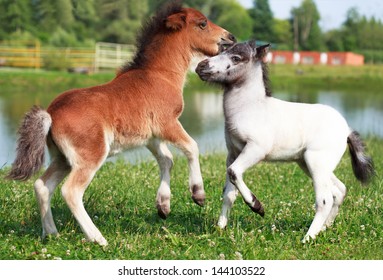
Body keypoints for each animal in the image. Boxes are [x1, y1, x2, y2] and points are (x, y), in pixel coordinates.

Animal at [7, 1, 237, 245]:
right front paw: (198, 194)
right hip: (91, 155)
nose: (230, 37)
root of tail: (50, 113)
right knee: (71, 191)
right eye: (202, 23)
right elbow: (192, 147)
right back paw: (98, 238)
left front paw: (163, 206)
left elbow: (167, 160)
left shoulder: (151, 136)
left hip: (63, 158)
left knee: (42, 186)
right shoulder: (167, 123)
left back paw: (51, 234)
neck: (160, 75)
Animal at [198, 40, 376, 242]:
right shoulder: (233, 153)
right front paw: (220, 228)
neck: (250, 109)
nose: (200, 66)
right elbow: (229, 193)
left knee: (325, 199)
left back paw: (308, 238)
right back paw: (324, 228)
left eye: (236, 58)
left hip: (316, 163)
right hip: (309, 164)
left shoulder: (256, 149)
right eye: (222, 50)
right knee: (339, 190)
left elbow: (234, 172)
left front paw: (257, 206)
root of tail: (347, 130)